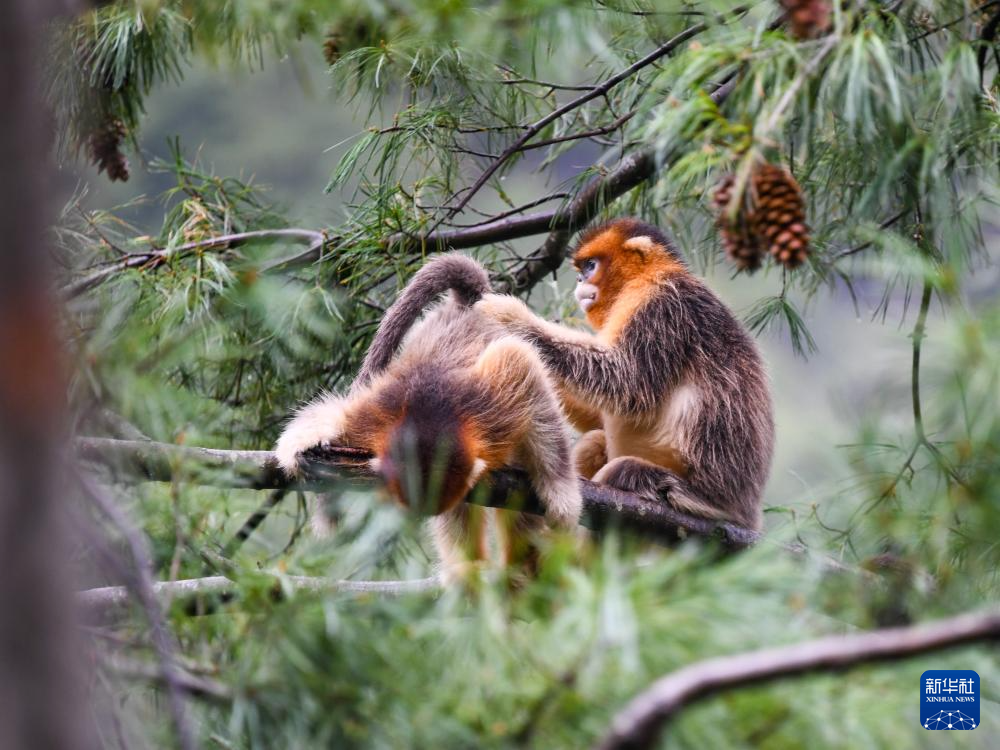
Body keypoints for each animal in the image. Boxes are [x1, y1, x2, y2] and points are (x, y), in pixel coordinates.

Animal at [274, 254, 582, 575]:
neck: (428, 416)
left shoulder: (490, 408)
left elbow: (521, 365)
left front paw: (561, 496)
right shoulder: (375, 417)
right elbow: (335, 416)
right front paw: (301, 447)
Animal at [475, 218, 774, 531]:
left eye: (590, 266)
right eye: (581, 269)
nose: (580, 281)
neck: (647, 277)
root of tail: (745, 513)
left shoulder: (663, 303)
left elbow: (626, 381)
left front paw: (512, 318)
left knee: (624, 470)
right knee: (596, 439)